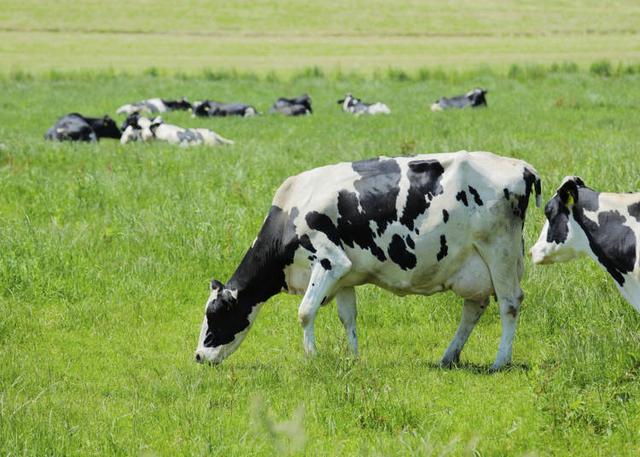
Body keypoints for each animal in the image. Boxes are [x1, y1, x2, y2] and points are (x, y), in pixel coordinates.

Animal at [194, 151, 540, 370]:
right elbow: (348, 318)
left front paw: (312, 358)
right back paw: (449, 357)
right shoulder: (345, 276)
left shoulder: (329, 260)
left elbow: (305, 312)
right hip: (473, 264)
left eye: (215, 316)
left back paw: (500, 361)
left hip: (499, 250)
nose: (197, 356)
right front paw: (354, 358)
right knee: (474, 307)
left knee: (509, 303)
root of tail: (522, 166)